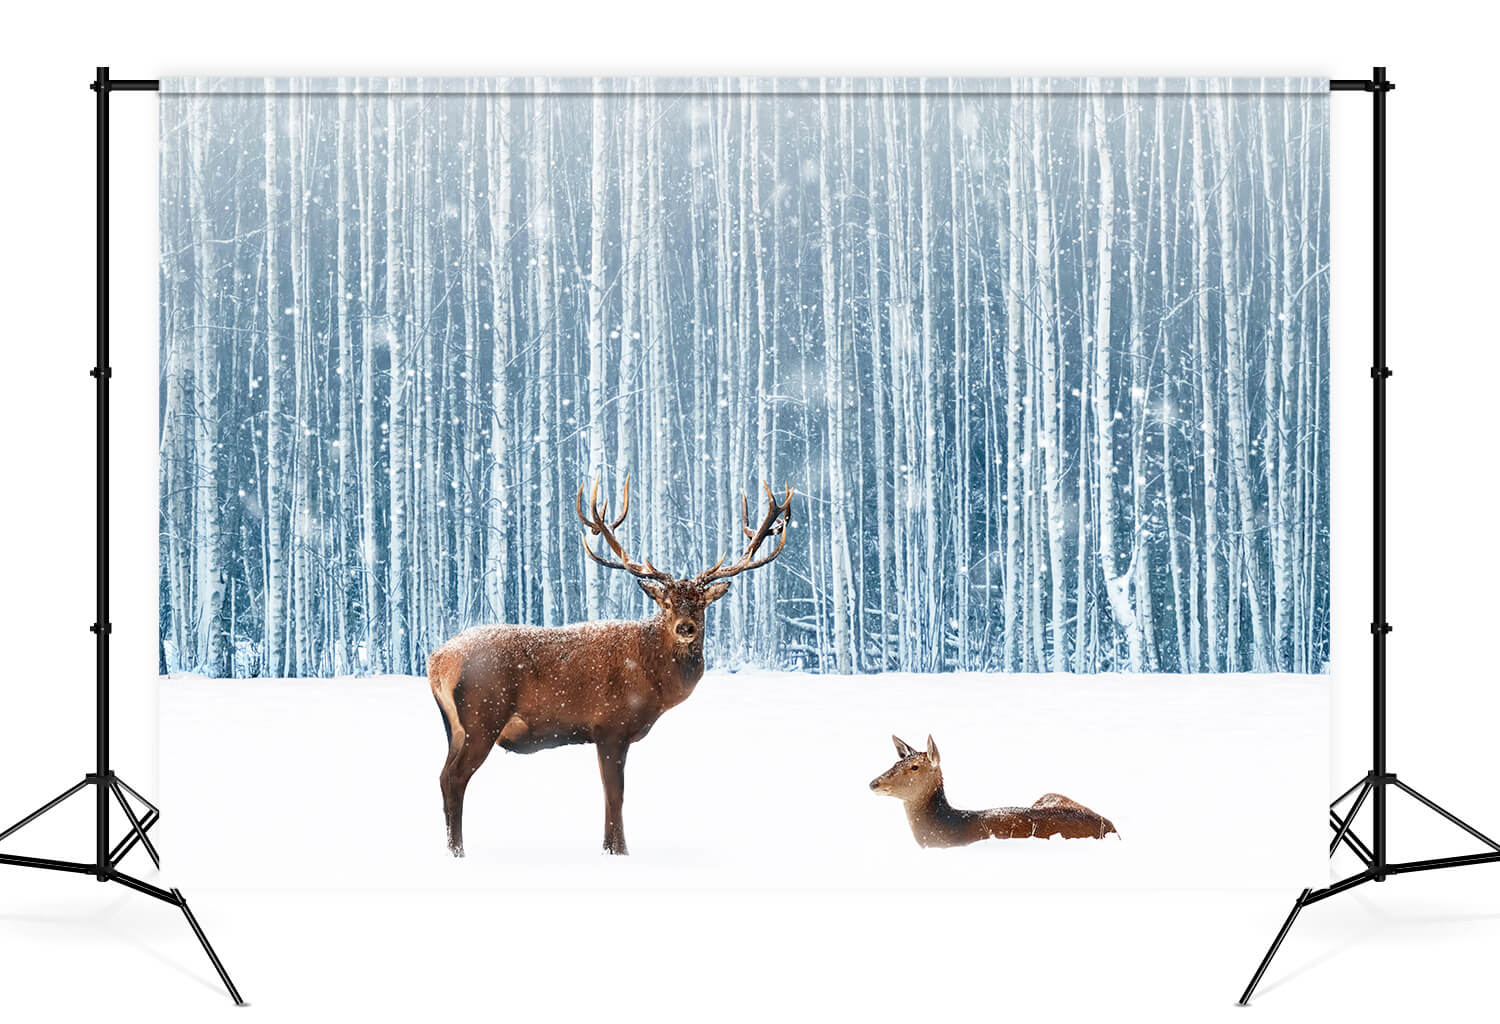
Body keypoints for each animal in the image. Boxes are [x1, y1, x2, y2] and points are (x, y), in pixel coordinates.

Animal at [428, 476, 793, 857]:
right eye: (666, 603)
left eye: (700, 603)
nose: (685, 628)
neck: (654, 680)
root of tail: (438, 660)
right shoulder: (610, 726)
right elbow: (615, 795)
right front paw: (619, 852)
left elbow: (610, 795)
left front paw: (609, 849)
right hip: (483, 715)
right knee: (454, 778)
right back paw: (458, 852)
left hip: (454, 726)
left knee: (442, 776)